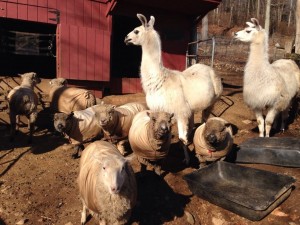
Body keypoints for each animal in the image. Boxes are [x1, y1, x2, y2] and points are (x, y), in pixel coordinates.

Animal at [124, 14, 223, 165]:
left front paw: (186, 160)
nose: (125, 38)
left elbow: (182, 139)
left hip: (212, 102)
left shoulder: (180, 111)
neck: (159, 80)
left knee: (204, 120)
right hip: (192, 108)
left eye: (136, 30)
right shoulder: (160, 109)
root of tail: (208, 67)